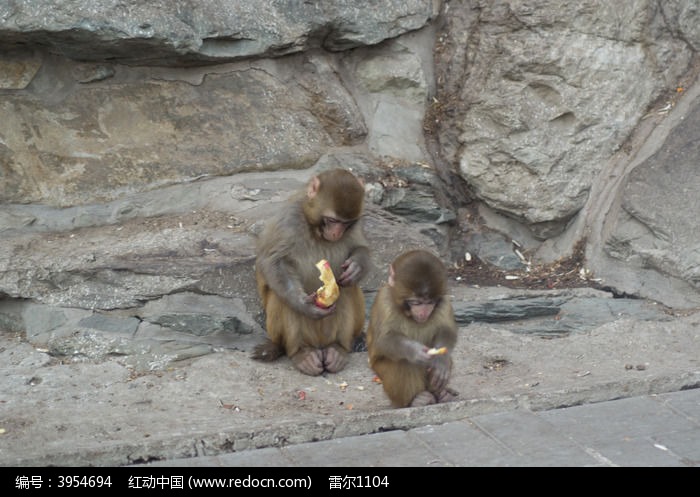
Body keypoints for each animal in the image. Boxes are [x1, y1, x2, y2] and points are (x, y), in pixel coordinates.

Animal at [253, 169, 372, 374]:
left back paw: (337, 349)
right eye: (332, 220)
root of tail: (319, 344)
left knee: (347, 289)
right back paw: (302, 353)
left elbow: (361, 247)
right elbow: (275, 262)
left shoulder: (357, 224)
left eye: (346, 223)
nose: (336, 233)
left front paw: (356, 267)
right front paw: (303, 305)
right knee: (281, 298)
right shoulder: (289, 220)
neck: (313, 227)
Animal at [366, 248, 460, 406]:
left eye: (430, 302)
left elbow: (447, 330)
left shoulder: (444, 301)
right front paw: (415, 351)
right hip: (379, 371)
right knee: (404, 362)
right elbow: (384, 339)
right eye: (416, 302)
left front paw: (440, 361)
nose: (423, 312)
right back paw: (416, 400)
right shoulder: (384, 300)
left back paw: (441, 394)